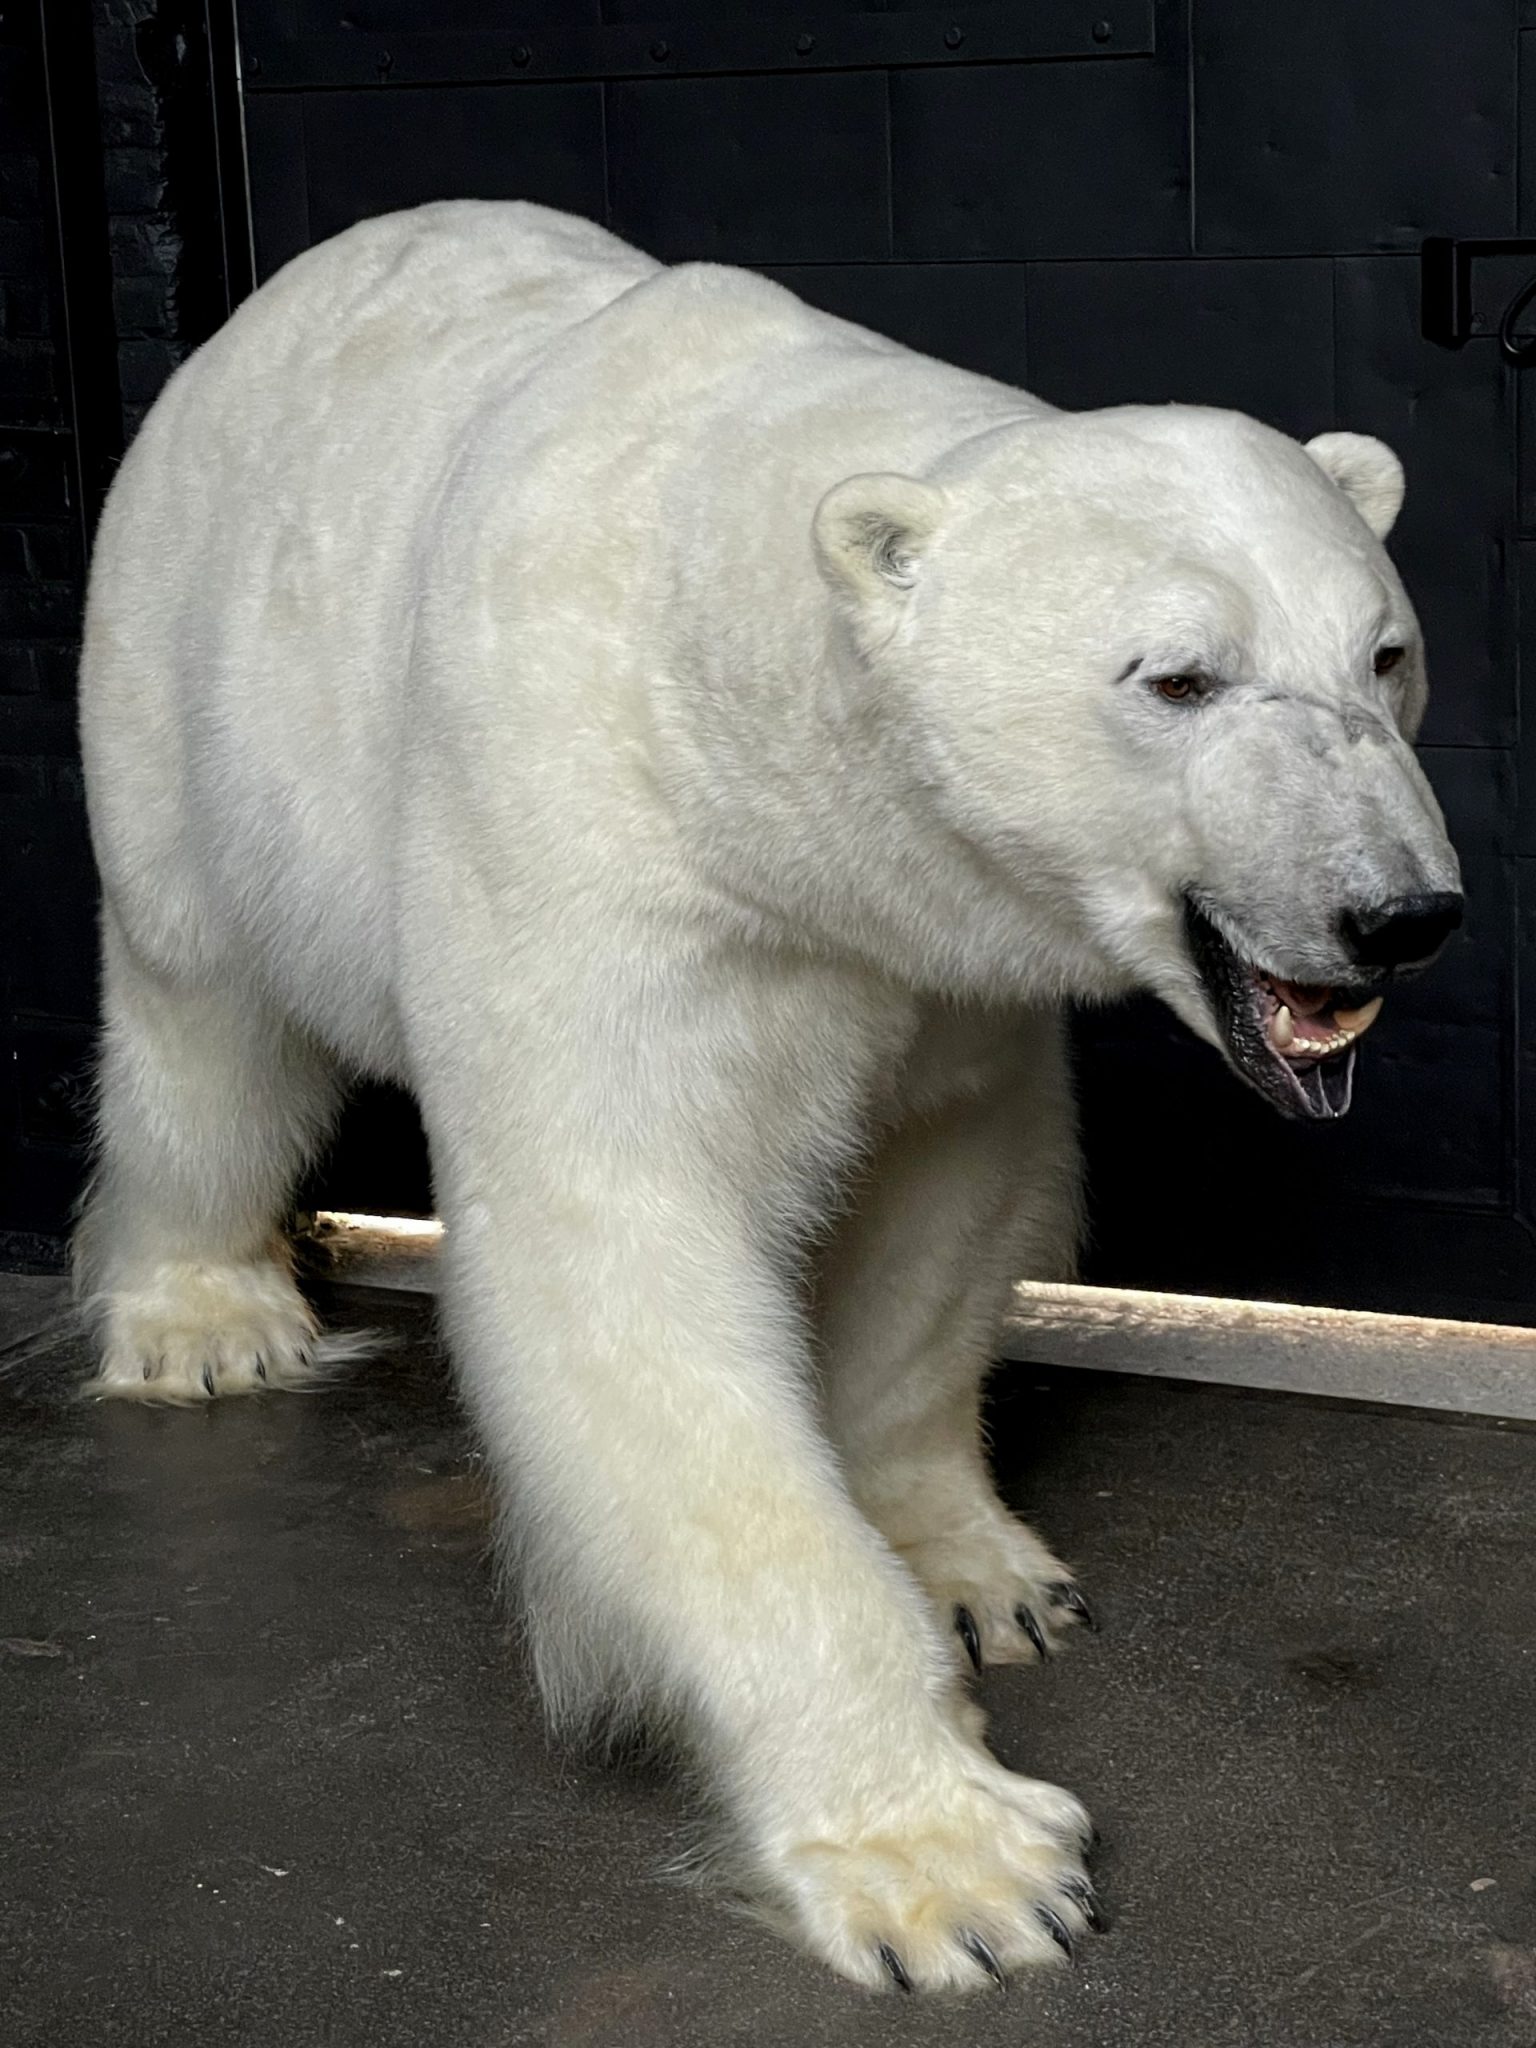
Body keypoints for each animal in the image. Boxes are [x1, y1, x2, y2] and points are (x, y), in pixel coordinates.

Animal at [75, 199, 1466, 1990]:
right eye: (1176, 678)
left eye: (1386, 653)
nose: (1400, 913)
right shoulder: (601, 855)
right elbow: (625, 1260)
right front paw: (956, 1865)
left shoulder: (930, 966)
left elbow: (946, 1197)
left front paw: (982, 1574)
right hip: (184, 695)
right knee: (203, 1018)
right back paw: (205, 1317)